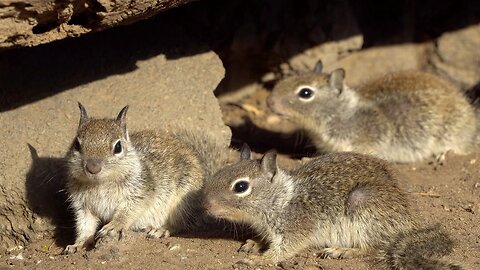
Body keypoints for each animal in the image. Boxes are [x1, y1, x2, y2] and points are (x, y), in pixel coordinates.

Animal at [62, 102, 228, 254]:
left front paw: (114, 226)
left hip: (182, 205)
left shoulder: (140, 192)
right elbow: (85, 226)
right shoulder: (83, 207)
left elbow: (127, 212)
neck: (100, 183)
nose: (93, 168)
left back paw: (160, 229)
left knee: (181, 224)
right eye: (76, 144)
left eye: (118, 147)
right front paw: (78, 244)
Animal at [202, 146, 462, 270]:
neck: (281, 199)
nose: (205, 205)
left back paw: (343, 251)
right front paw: (253, 243)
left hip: (363, 204)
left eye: (241, 186)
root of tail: (411, 222)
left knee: (373, 246)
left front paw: (259, 260)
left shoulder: (296, 229)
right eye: (220, 171)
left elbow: (283, 251)